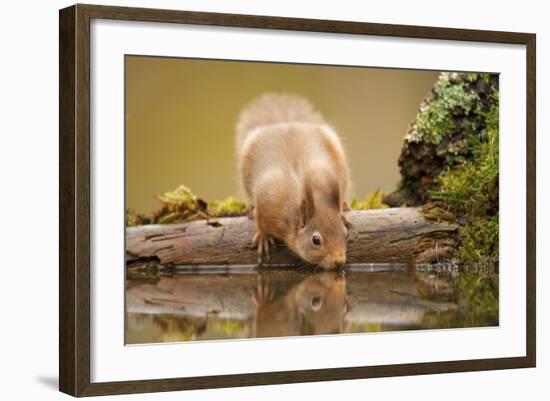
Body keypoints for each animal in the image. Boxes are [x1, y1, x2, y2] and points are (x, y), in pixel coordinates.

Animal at [236, 93, 350, 268]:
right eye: (316, 240)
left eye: (345, 234)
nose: (339, 262)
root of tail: (284, 124)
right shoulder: (268, 200)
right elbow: (261, 220)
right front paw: (263, 236)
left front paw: (342, 211)